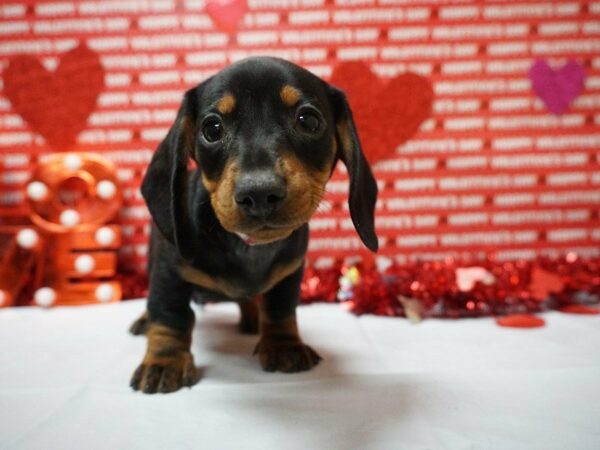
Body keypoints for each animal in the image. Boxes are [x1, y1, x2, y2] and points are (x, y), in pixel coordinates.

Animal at [129, 57, 378, 394]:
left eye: (308, 120)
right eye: (212, 128)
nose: (259, 193)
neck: (248, 246)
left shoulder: (289, 273)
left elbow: (281, 309)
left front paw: (284, 345)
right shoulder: (169, 272)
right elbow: (170, 314)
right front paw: (165, 361)